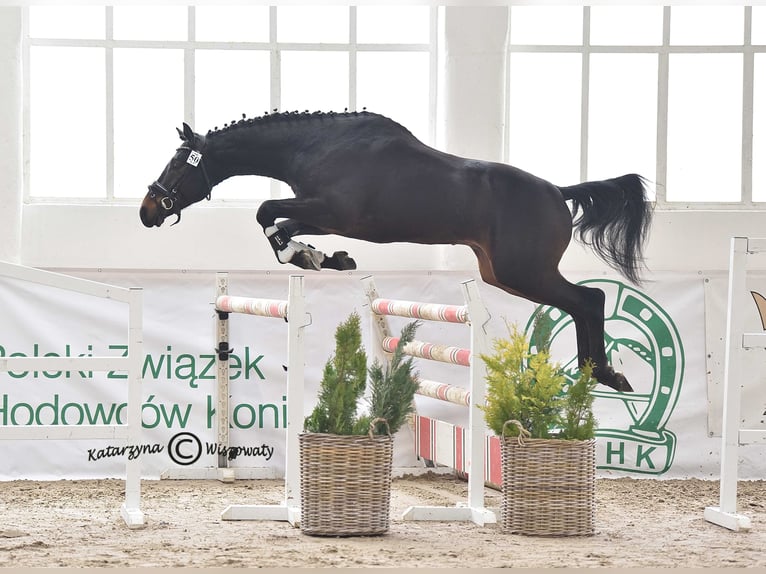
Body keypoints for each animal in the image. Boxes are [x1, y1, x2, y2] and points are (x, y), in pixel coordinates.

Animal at [140, 110, 652, 392]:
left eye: (177, 163)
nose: (147, 211)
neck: (315, 147)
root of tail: (559, 192)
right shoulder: (322, 216)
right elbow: (279, 225)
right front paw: (325, 258)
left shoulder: (331, 211)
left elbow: (268, 214)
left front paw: (304, 257)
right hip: (503, 273)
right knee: (582, 304)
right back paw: (594, 372)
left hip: (523, 271)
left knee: (590, 299)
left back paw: (605, 374)